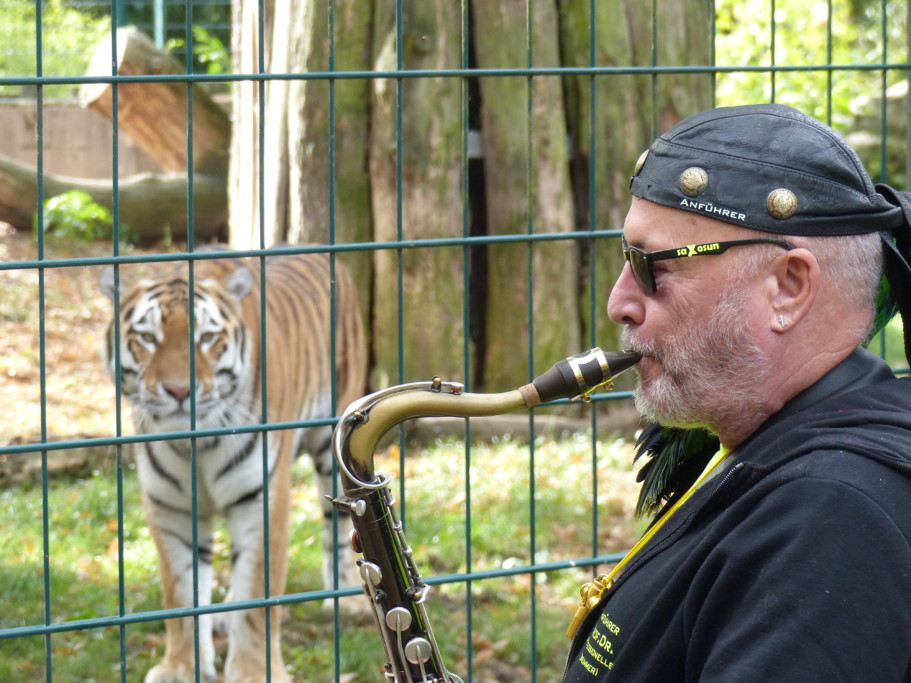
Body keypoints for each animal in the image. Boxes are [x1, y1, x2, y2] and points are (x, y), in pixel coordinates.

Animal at [102, 250, 366, 683]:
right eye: (147, 338)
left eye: (207, 339)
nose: (179, 391)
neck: (194, 445)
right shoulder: (171, 510)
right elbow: (182, 593)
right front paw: (180, 667)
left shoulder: (262, 502)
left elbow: (257, 596)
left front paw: (253, 671)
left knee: (341, 528)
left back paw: (348, 599)